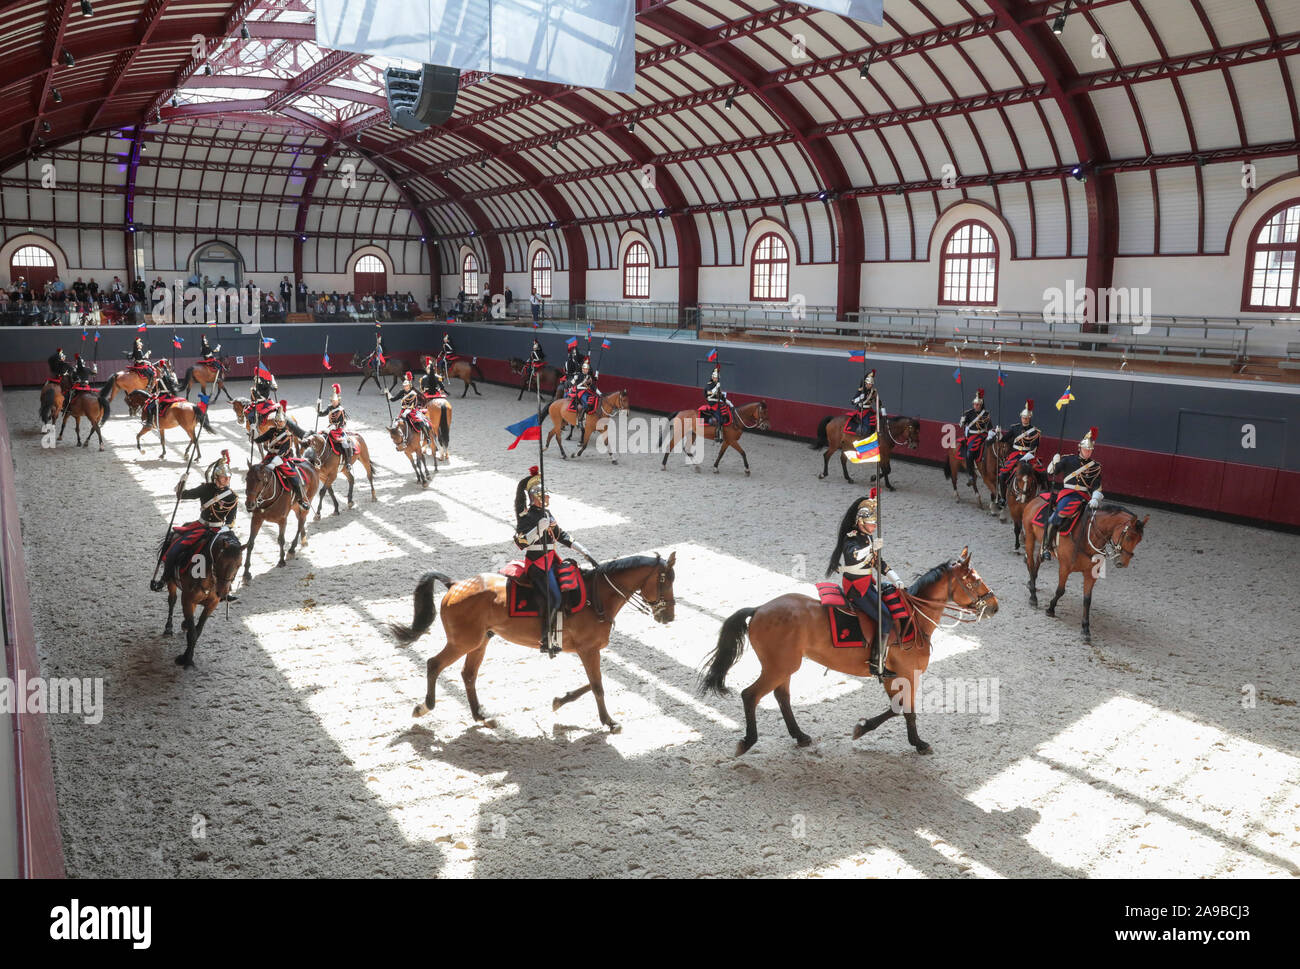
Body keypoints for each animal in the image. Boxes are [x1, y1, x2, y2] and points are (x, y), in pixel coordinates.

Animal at [160, 525, 244, 671]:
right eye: (220, 562)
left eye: (239, 565)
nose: (222, 593)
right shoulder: (188, 600)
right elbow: (193, 633)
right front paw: (186, 660)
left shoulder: (212, 604)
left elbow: (198, 631)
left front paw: (187, 656)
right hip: (171, 582)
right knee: (172, 600)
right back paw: (169, 628)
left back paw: (184, 624)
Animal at [392, 548, 681, 728]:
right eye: (665, 580)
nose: (669, 616)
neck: (596, 597)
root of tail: (455, 585)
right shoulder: (589, 650)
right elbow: (597, 686)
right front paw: (609, 722)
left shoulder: (587, 651)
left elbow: (592, 683)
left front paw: (560, 700)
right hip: (463, 642)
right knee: (434, 664)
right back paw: (425, 707)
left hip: (480, 641)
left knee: (468, 675)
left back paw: (480, 715)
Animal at [702, 548, 993, 754]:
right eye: (975, 581)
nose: (994, 605)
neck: (913, 618)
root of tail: (760, 609)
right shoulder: (908, 674)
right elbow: (906, 709)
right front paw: (918, 743)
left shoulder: (891, 676)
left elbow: (897, 708)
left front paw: (864, 728)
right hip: (778, 667)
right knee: (750, 695)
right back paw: (748, 741)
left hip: (783, 667)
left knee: (781, 696)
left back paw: (800, 736)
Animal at [1019, 499, 1144, 642]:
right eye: (1129, 537)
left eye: (1139, 540)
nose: (1122, 563)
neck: (1088, 537)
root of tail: (1036, 499)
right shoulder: (1065, 568)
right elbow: (1060, 591)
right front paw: (1050, 609)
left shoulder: (1091, 574)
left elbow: (1087, 600)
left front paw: (1085, 628)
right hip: (1030, 537)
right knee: (1030, 562)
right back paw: (1033, 596)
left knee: (1038, 560)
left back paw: (1031, 582)